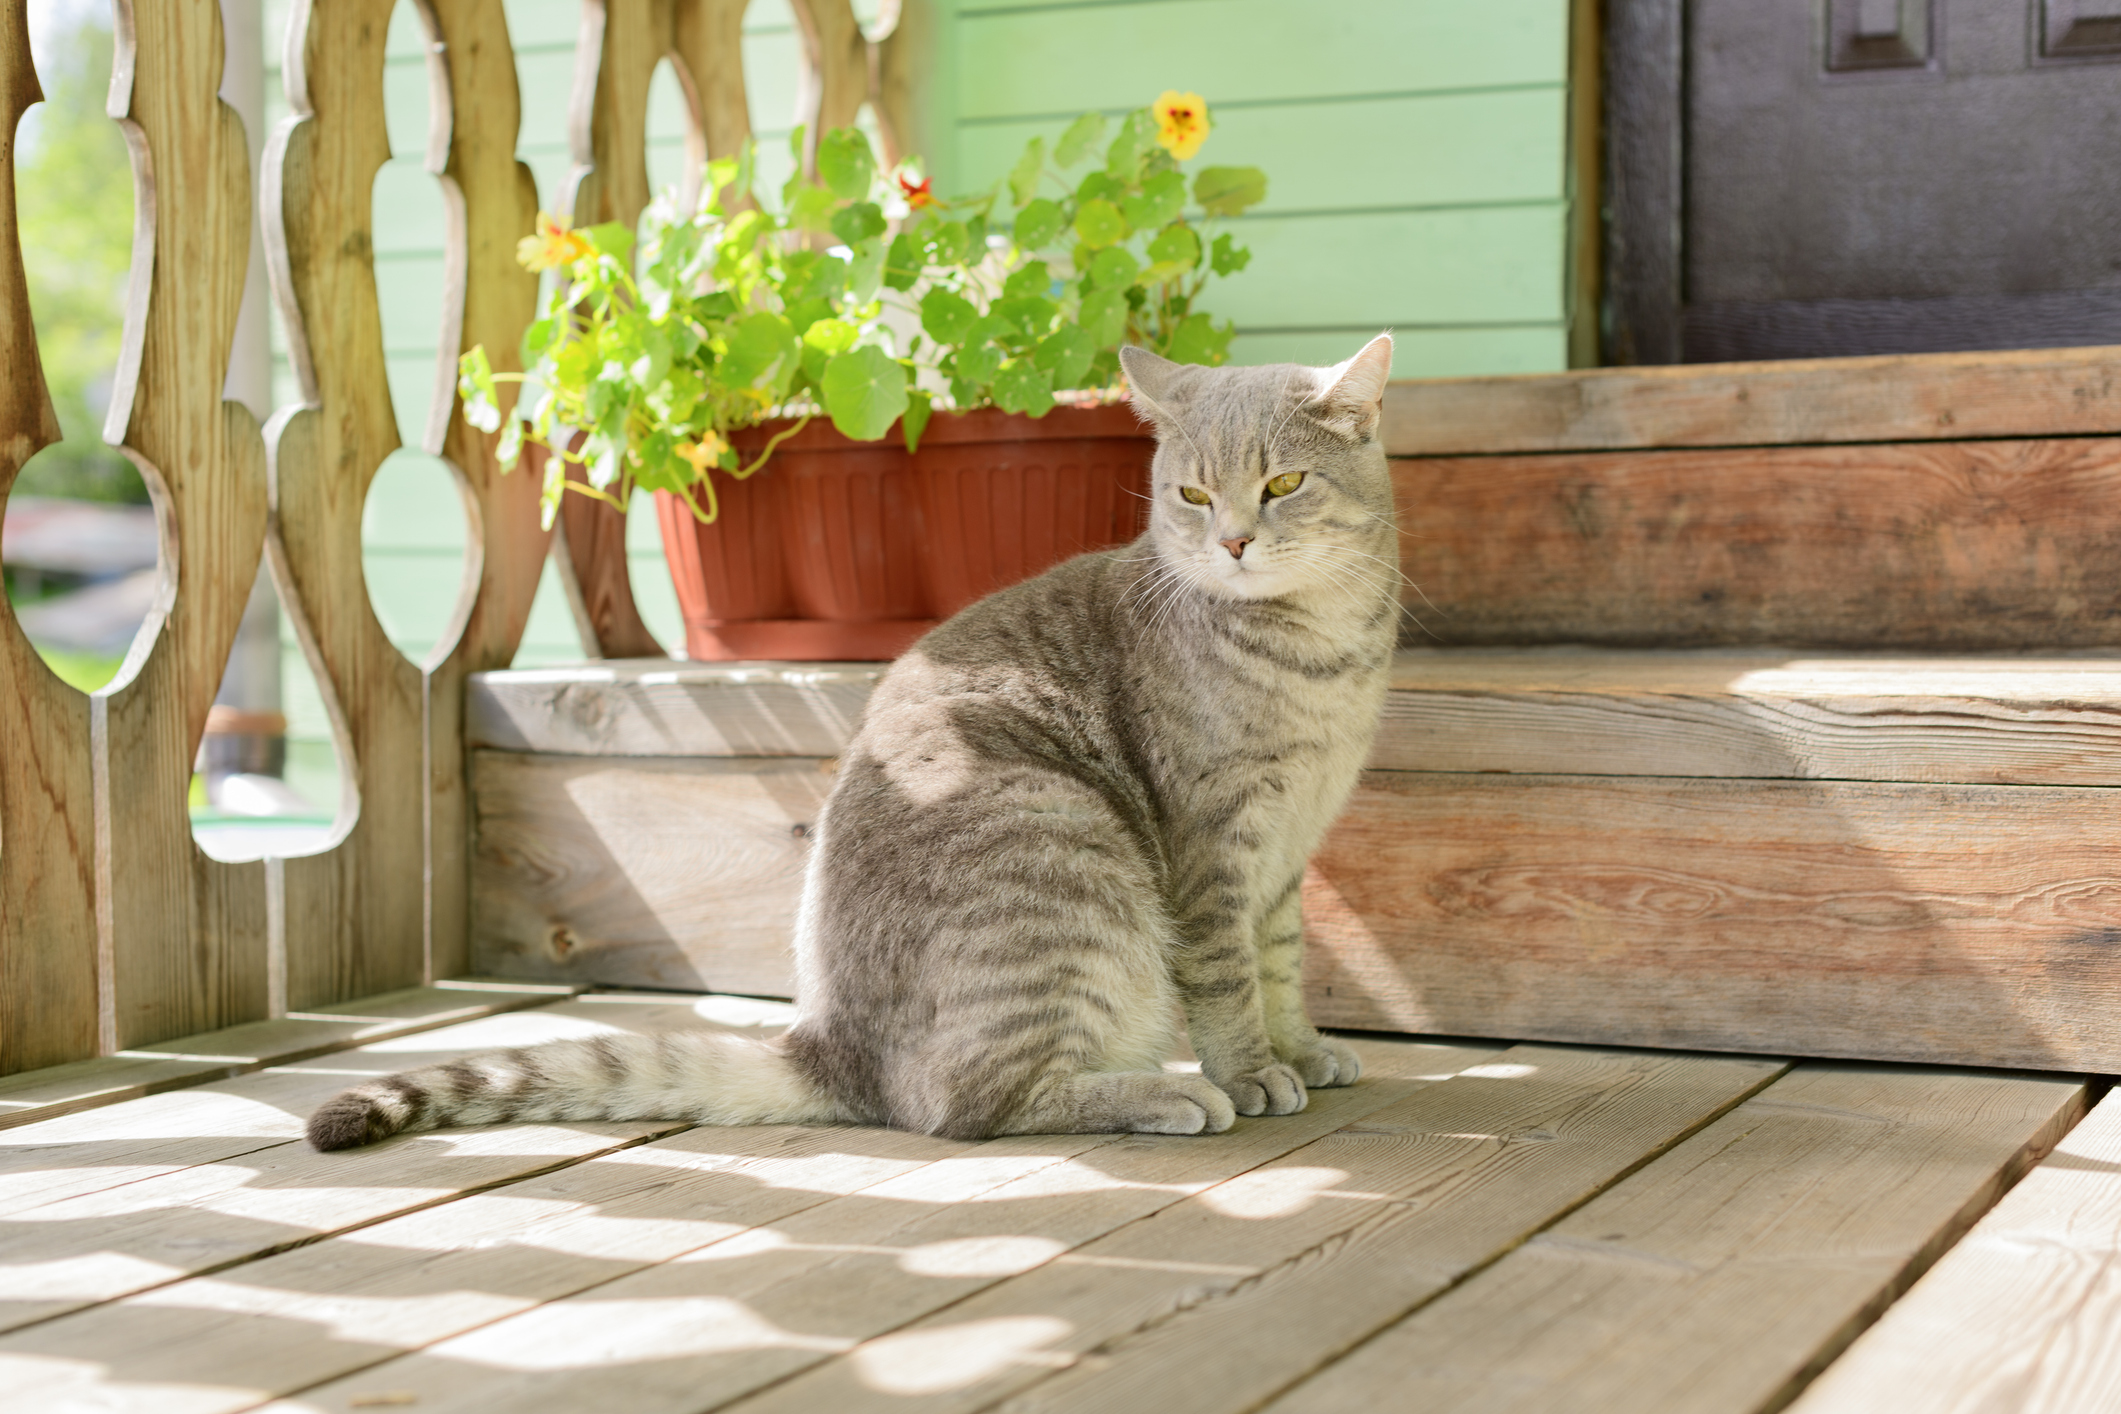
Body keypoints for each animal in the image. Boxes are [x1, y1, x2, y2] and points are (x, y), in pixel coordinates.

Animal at [299, 337, 1391, 1153]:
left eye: (1283, 483)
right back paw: (1157, 1092)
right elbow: (1226, 979)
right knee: (968, 1105)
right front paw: (1250, 1071)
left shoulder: (1286, 858)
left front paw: (1302, 1047)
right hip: (1065, 843)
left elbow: (1279, 962)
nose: (1234, 541)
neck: (1321, 652)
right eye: (1193, 497)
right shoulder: (1213, 850)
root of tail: (830, 1049)